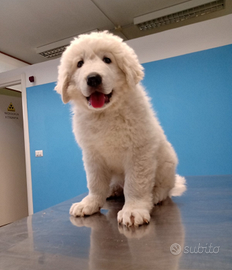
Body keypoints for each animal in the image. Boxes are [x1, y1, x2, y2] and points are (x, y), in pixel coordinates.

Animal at [55, 30, 186, 227]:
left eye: (107, 60)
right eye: (79, 64)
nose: (93, 78)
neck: (105, 114)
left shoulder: (138, 152)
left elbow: (136, 184)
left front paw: (133, 210)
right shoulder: (92, 154)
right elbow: (95, 182)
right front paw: (90, 202)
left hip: (167, 162)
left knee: (165, 187)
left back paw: (155, 194)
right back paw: (113, 190)